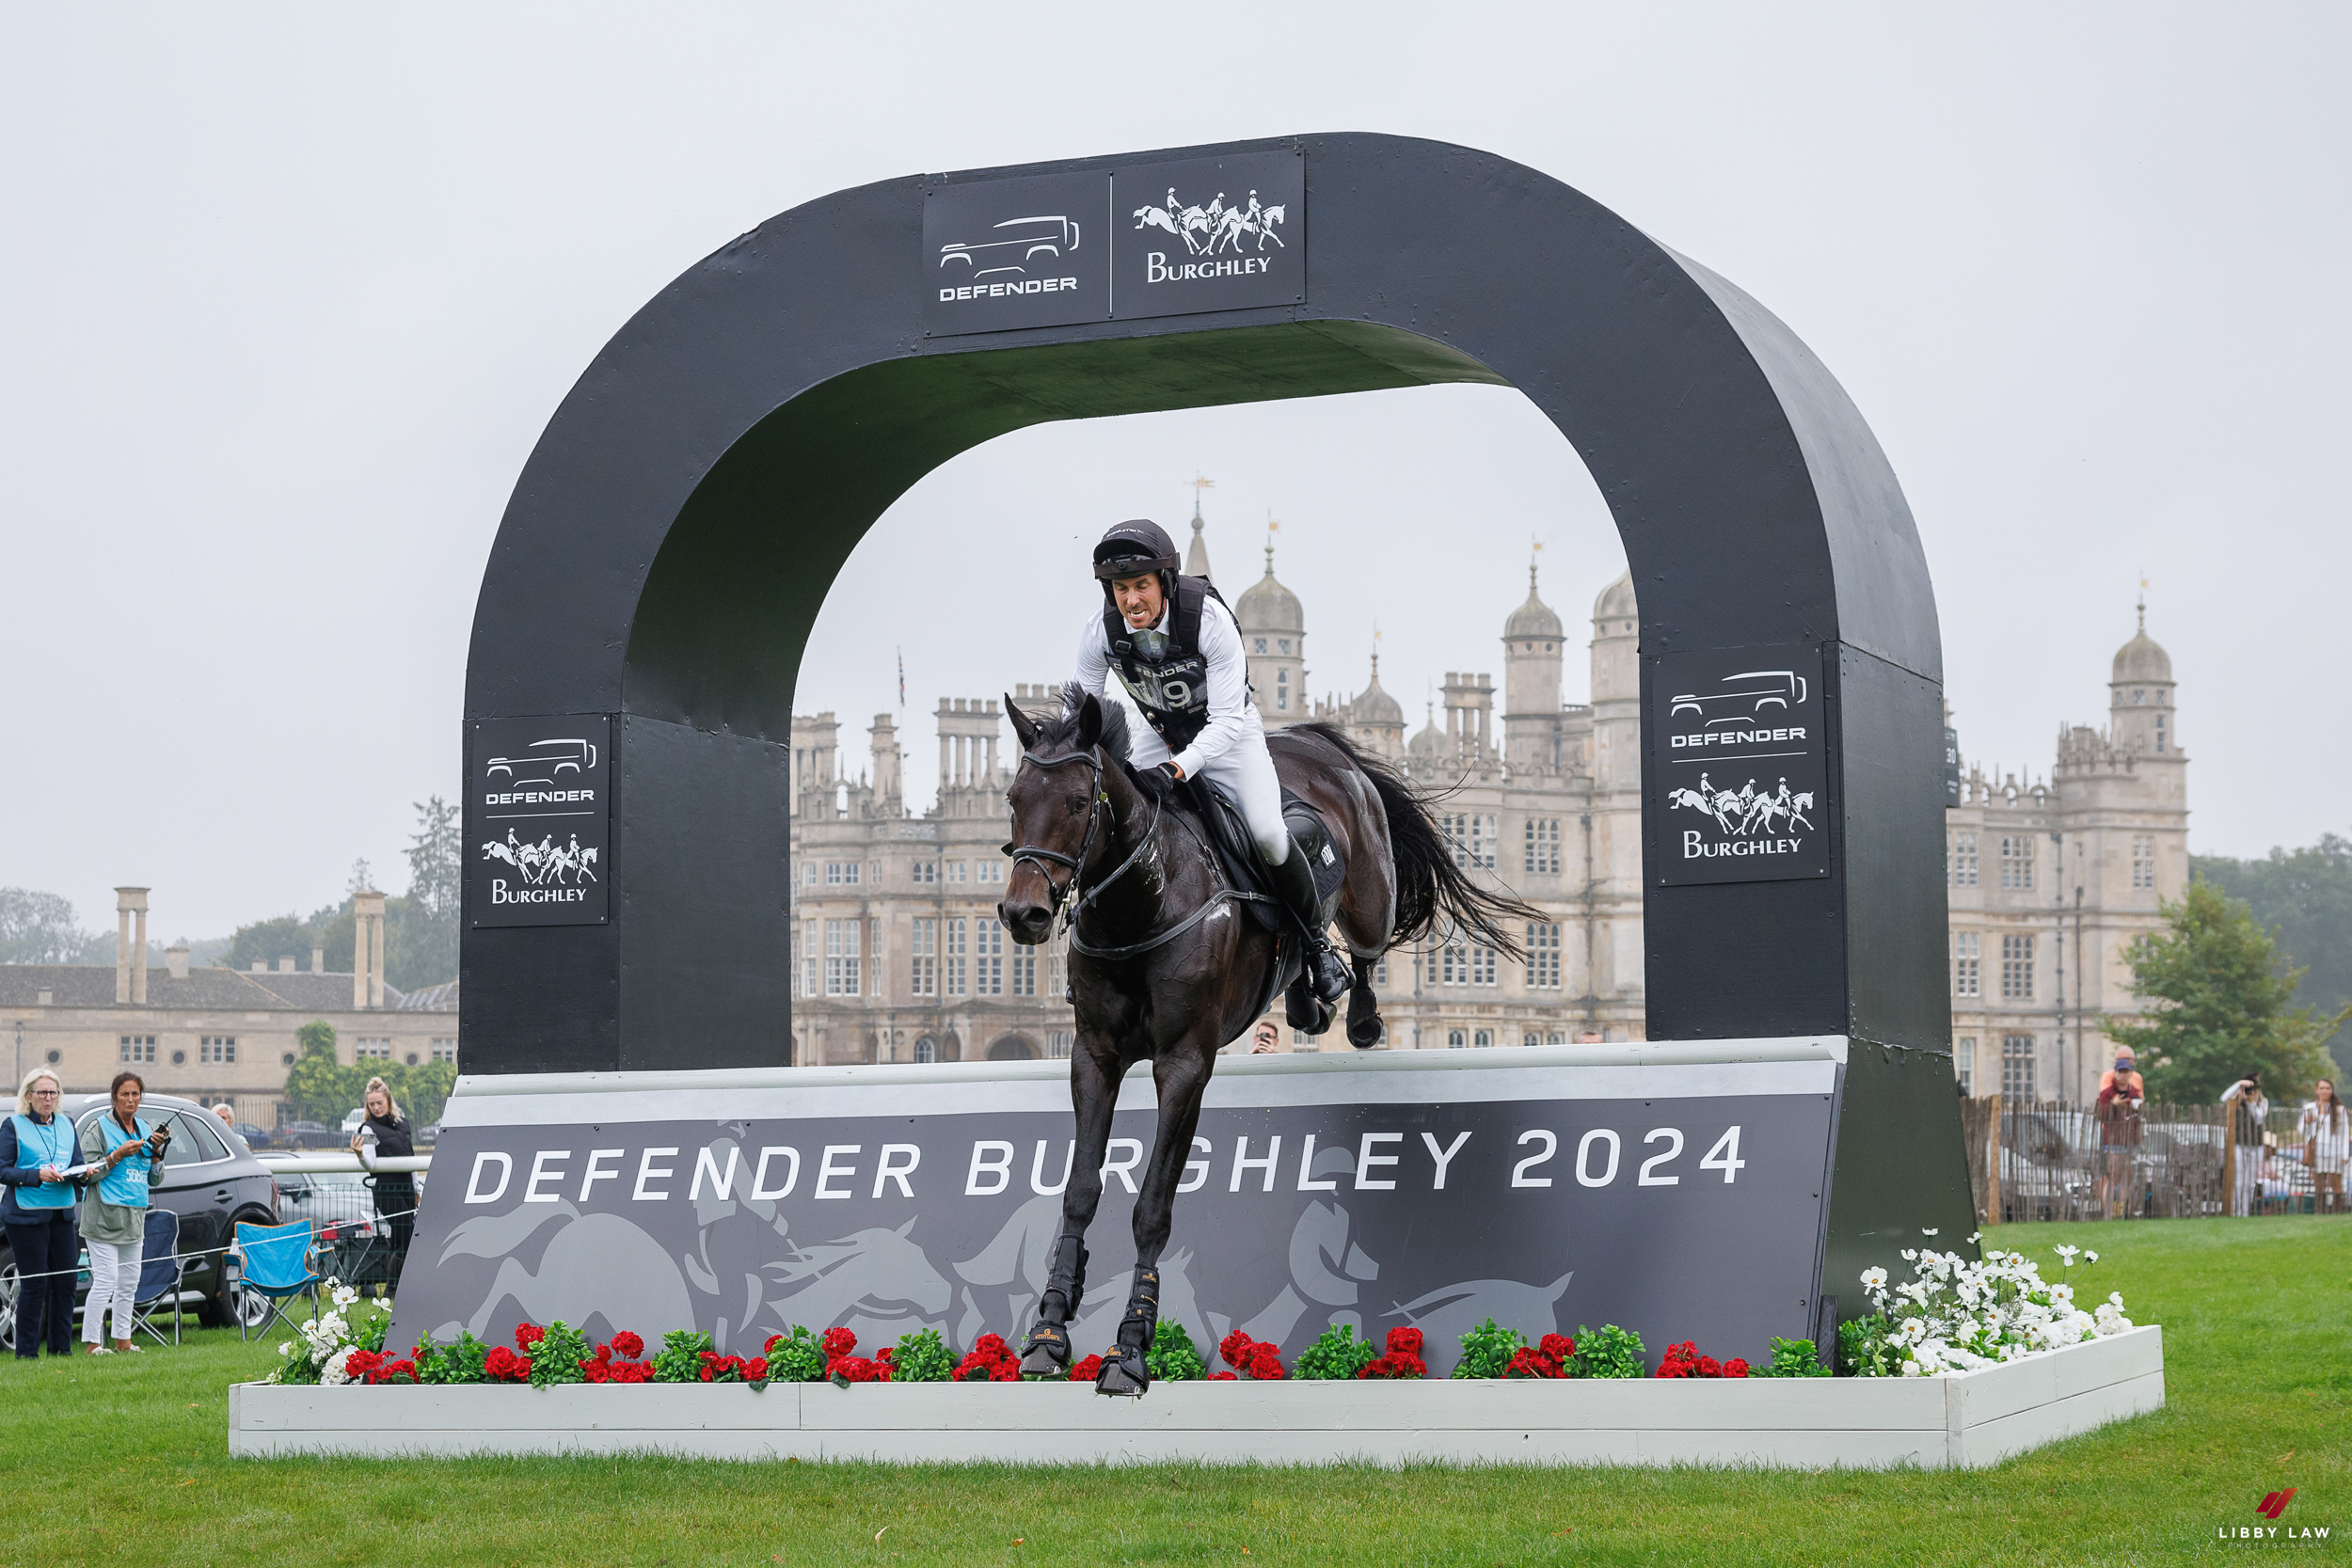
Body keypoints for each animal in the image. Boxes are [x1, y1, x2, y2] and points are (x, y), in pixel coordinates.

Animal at [997, 682, 1537, 1393]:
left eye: (1080, 803)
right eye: (1014, 799)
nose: (1024, 913)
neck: (1141, 902)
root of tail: (1310, 740)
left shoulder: (1184, 1063)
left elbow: (1153, 1206)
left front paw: (1131, 1350)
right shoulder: (1094, 1056)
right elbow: (1080, 1190)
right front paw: (1049, 1329)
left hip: (1368, 896)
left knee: (1361, 939)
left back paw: (1351, 1004)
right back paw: (1308, 996)